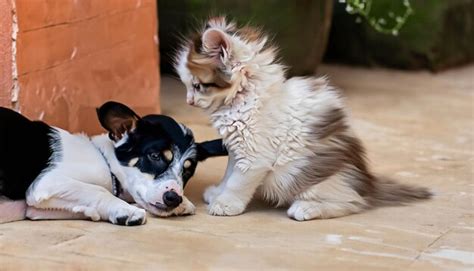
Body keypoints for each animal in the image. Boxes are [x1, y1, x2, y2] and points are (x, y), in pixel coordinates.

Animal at [0, 101, 228, 225]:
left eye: (188, 171)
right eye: (154, 156)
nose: (173, 198)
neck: (104, 161)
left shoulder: (33, 208)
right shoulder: (46, 183)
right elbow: (98, 191)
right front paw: (125, 210)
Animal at [174, 16, 430, 221]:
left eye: (198, 86)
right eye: (187, 87)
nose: (188, 101)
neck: (243, 100)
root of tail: (368, 182)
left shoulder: (255, 156)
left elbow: (238, 182)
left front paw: (227, 204)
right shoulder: (236, 152)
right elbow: (228, 176)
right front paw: (218, 193)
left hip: (301, 177)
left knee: (353, 202)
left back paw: (306, 208)